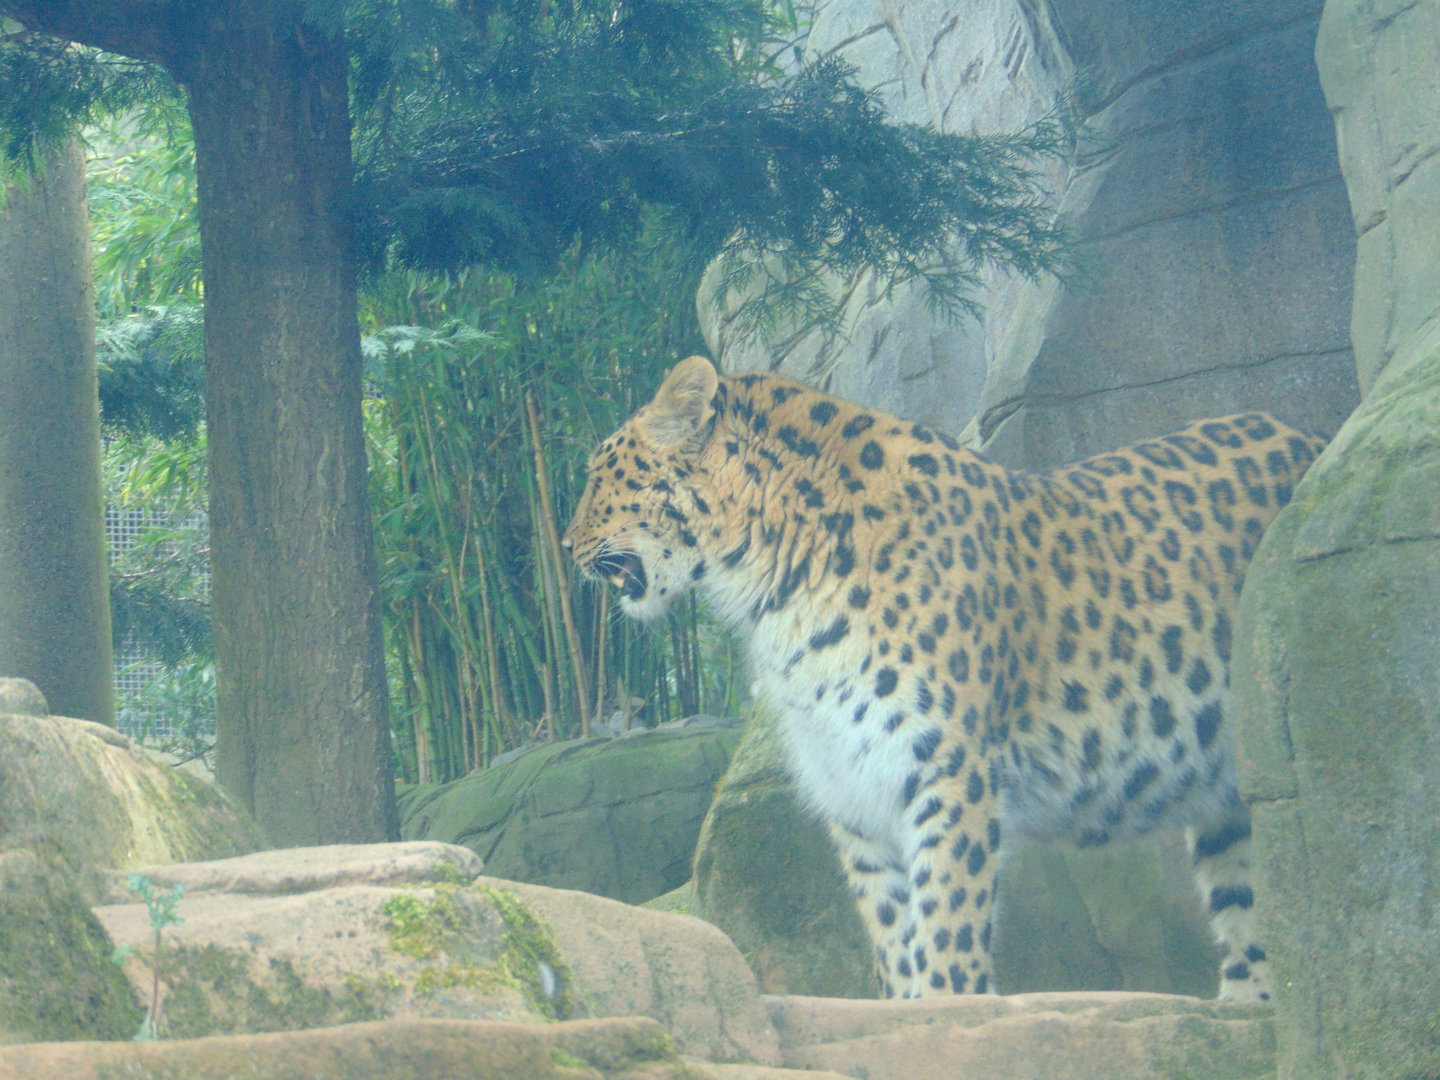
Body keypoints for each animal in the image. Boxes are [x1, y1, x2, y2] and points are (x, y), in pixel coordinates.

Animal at [562, 354, 1324, 1002]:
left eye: (601, 475)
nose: (565, 547)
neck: (773, 585)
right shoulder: (854, 791)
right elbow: (894, 930)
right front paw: (911, 1013)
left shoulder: (947, 766)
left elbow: (948, 917)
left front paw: (953, 1007)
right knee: (1250, 903)